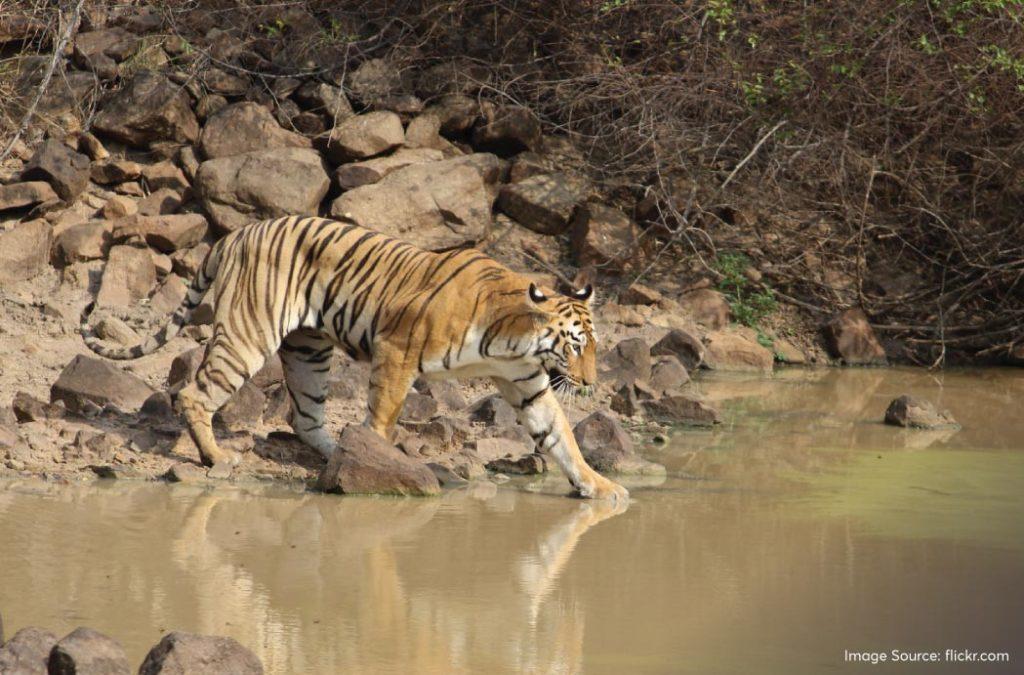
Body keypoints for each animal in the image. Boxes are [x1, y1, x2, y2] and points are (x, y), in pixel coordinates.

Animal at [83, 216, 626, 501]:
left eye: (594, 345)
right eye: (576, 345)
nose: (590, 383)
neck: (512, 338)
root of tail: (234, 233)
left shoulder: (527, 383)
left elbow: (562, 438)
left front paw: (601, 487)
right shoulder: (397, 349)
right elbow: (383, 417)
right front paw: (384, 466)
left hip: (308, 350)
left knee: (303, 417)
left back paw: (336, 456)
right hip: (247, 334)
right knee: (194, 393)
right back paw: (217, 456)